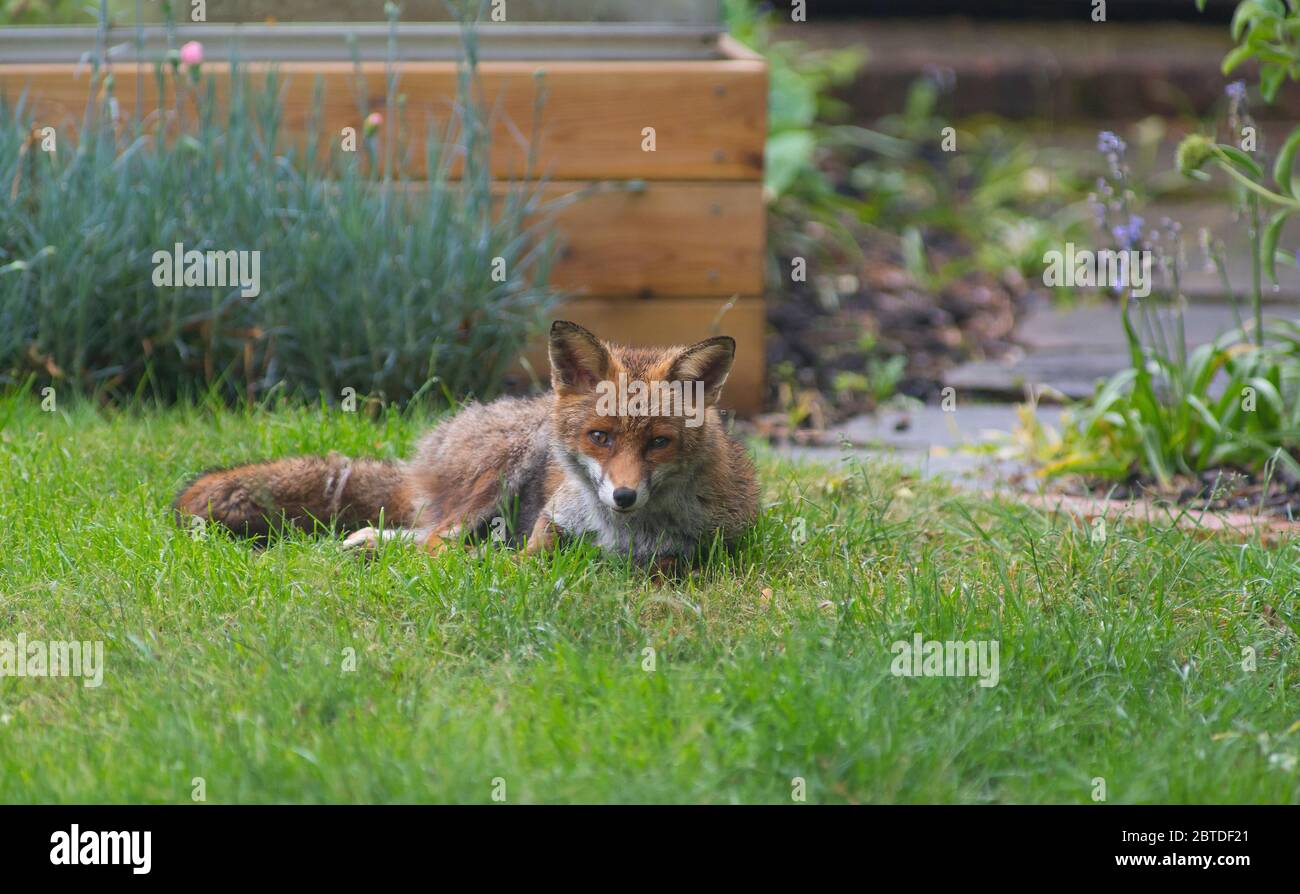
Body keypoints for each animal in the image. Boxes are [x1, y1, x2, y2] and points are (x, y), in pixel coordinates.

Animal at [172, 320, 759, 566]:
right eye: (600, 437)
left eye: (658, 443)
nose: (624, 496)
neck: (616, 531)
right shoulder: (546, 530)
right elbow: (513, 562)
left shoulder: (680, 559)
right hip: (501, 470)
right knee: (436, 541)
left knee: (418, 535)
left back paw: (366, 543)